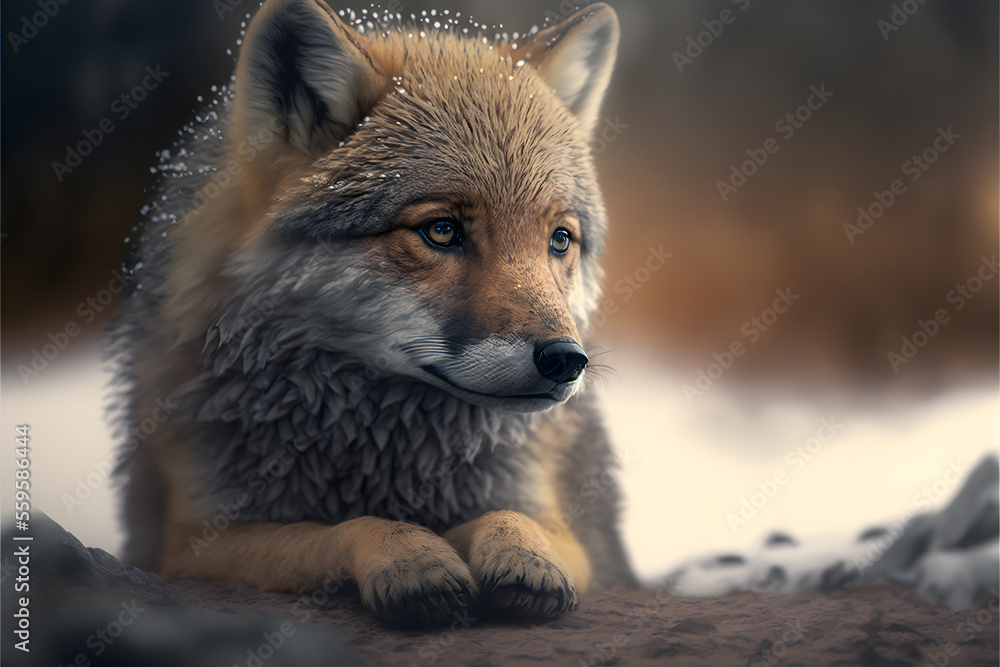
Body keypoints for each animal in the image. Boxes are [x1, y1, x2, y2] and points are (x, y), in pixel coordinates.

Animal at [111, 0, 636, 626]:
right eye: (442, 231)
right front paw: (411, 556)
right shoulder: (193, 542)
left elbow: (512, 518)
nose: (566, 361)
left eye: (559, 240)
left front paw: (519, 556)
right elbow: (340, 531)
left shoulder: (558, 522)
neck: (380, 456)